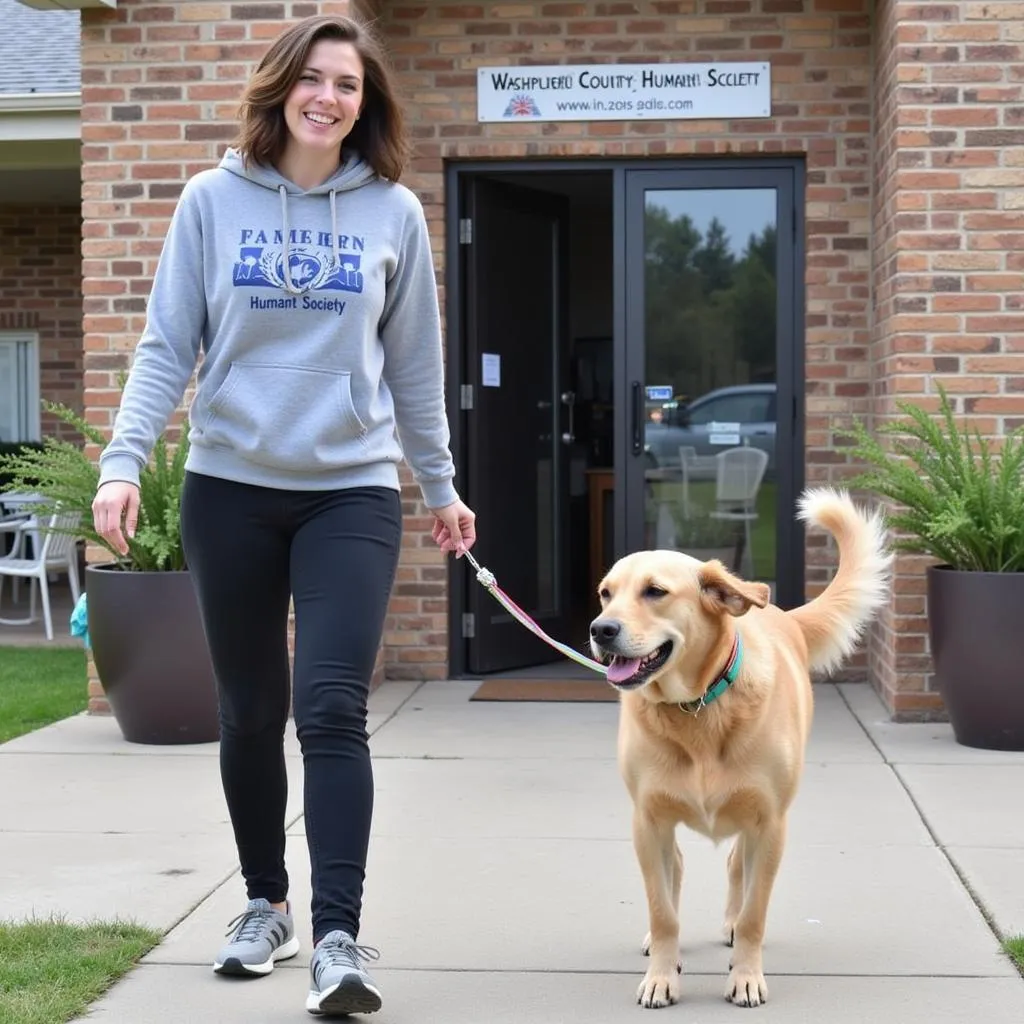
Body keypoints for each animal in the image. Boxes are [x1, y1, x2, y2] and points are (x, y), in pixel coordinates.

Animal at [589, 487, 892, 1007]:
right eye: (607, 593)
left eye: (655, 591)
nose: (599, 629)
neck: (696, 708)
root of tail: (782, 615)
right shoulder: (647, 822)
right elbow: (662, 910)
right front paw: (662, 975)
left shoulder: (769, 824)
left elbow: (754, 913)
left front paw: (746, 976)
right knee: (675, 873)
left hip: (752, 821)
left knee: (736, 868)